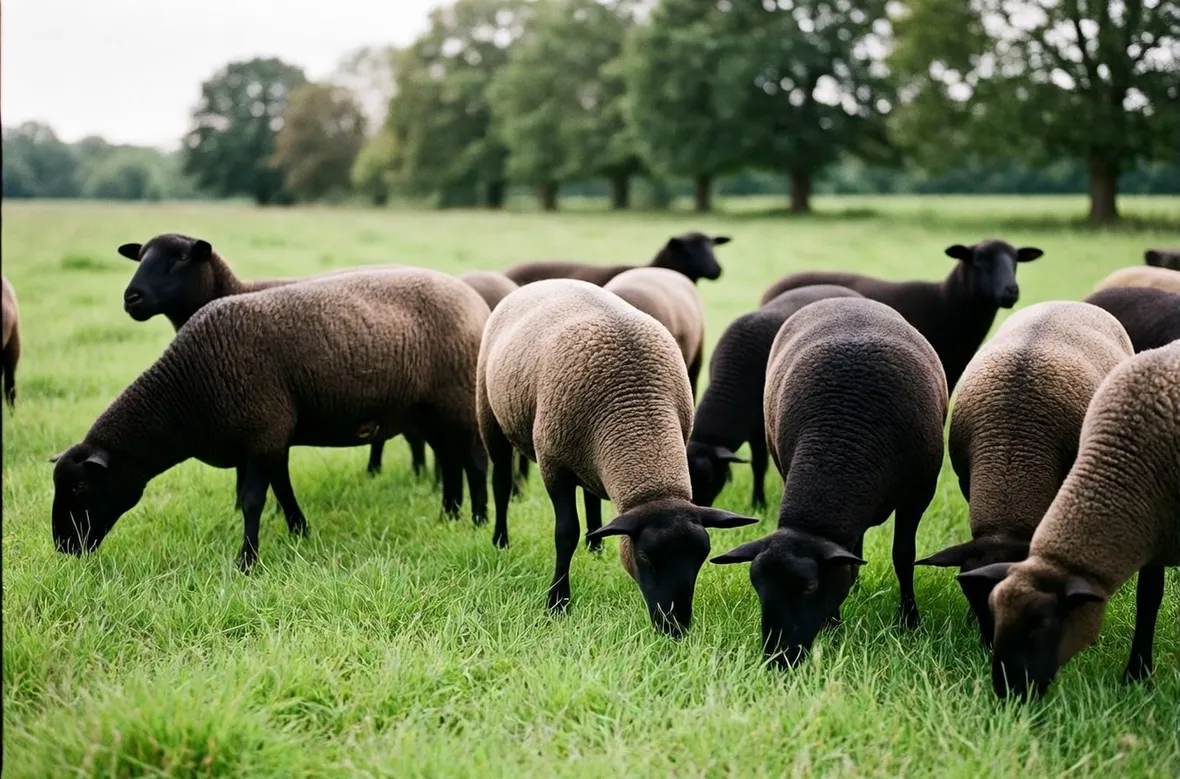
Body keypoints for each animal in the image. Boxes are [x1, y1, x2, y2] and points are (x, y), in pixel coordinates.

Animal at [51, 268, 491, 570]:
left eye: (79, 487)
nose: (62, 547)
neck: (188, 390)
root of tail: (473, 299)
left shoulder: (262, 432)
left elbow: (253, 500)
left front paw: (247, 562)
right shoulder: (271, 438)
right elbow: (283, 489)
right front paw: (300, 531)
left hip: (458, 402)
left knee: (473, 461)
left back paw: (478, 520)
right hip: (429, 411)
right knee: (449, 459)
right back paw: (449, 514)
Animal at [116, 233, 425, 489]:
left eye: (182, 257)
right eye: (140, 257)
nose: (131, 298)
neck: (234, 290)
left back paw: (419, 477)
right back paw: (382, 473)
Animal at [711, 297, 948, 667]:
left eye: (809, 588)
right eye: (757, 586)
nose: (778, 659)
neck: (841, 440)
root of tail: (846, 299)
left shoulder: (919, 495)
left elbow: (903, 556)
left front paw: (910, 621)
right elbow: (844, 561)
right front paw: (834, 625)